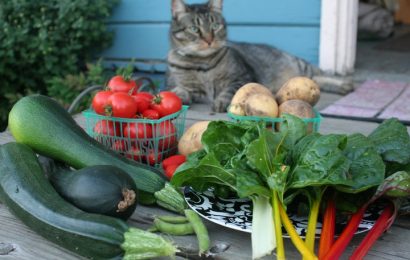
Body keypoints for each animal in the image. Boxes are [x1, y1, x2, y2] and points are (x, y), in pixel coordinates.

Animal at [166, 0, 350, 111]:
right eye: (194, 29)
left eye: (215, 26)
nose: (209, 40)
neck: (202, 63)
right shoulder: (187, 87)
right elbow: (178, 90)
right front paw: (177, 99)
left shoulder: (242, 77)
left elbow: (229, 91)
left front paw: (221, 102)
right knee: (316, 80)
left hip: (302, 66)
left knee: (320, 74)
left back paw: (345, 85)